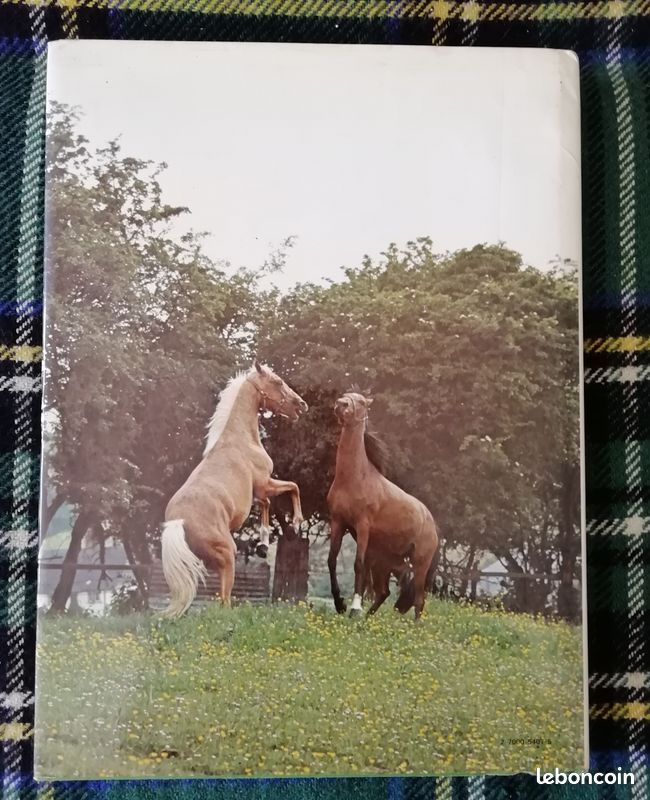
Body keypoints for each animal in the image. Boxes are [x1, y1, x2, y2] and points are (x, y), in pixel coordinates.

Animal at [161, 361, 308, 617]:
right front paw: (297, 523)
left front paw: (263, 544)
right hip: (226, 555)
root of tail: (178, 522)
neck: (241, 439)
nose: (301, 404)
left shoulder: (259, 492)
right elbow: (293, 487)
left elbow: (267, 505)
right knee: (225, 602)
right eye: (278, 382)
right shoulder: (265, 484)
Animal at [327, 391, 439, 620]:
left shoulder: (362, 526)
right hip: (385, 562)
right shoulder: (337, 522)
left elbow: (358, 564)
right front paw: (339, 603)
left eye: (361, 401)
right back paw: (368, 618)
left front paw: (354, 608)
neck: (353, 479)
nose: (341, 405)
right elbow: (332, 560)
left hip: (420, 564)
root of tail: (433, 525)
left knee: (418, 600)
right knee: (384, 592)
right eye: (344, 395)